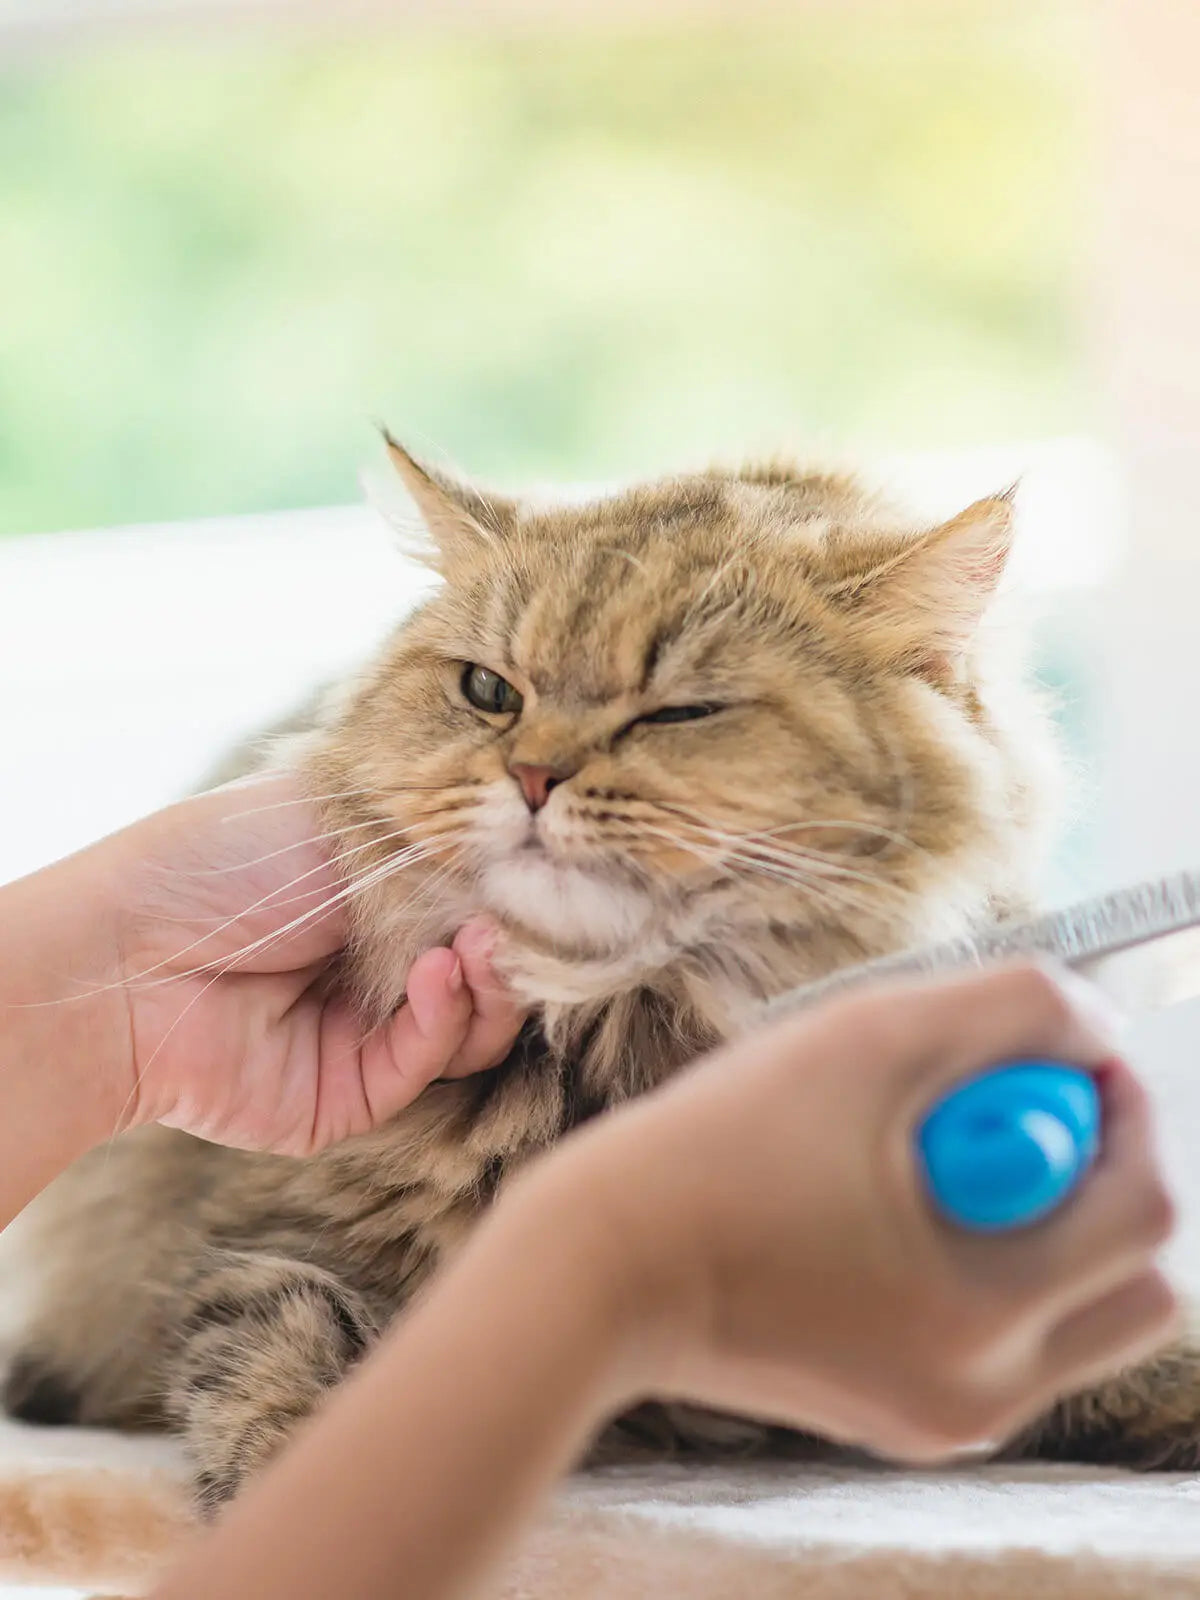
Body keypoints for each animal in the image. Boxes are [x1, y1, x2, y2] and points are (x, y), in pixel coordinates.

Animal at [7, 432, 1196, 1504]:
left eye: (679, 712)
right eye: (491, 691)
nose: (533, 777)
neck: (625, 1028)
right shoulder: (256, 1242)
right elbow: (284, 1352)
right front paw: (301, 1476)